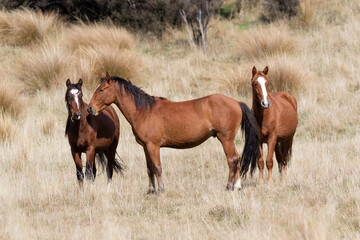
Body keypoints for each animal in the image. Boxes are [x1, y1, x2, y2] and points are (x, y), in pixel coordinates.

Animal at [88, 72, 260, 194]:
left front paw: (161, 190)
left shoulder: (153, 145)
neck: (144, 111)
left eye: (102, 89)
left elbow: (157, 167)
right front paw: (150, 190)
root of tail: (236, 102)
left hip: (226, 139)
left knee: (232, 159)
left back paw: (229, 186)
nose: (90, 109)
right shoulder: (145, 147)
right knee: (236, 158)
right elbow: (149, 168)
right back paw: (237, 186)